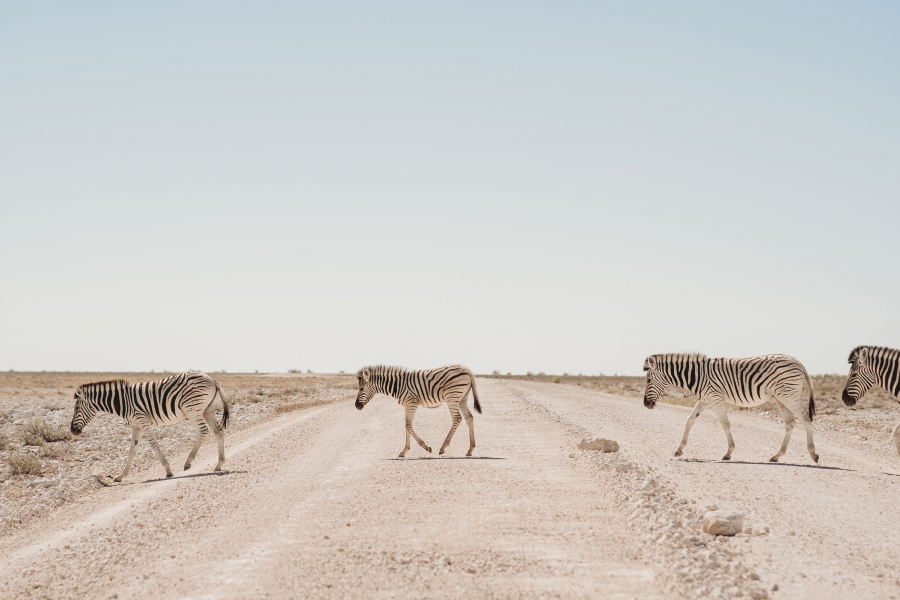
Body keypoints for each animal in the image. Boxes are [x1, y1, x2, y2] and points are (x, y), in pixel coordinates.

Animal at [71, 370, 232, 482]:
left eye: (77, 408)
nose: (72, 430)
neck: (122, 402)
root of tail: (211, 378)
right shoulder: (135, 426)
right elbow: (132, 451)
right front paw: (120, 476)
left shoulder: (142, 421)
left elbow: (154, 445)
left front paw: (168, 470)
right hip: (207, 410)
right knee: (218, 431)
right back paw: (219, 464)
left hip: (192, 410)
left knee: (203, 431)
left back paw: (188, 462)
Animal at [354, 364, 486, 458]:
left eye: (361, 389)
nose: (356, 406)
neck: (397, 386)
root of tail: (466, 369)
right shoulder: (407, 405)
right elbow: (406, 425)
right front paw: (404, 451)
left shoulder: (411, 404)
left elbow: (408, 425)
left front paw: (426, 447)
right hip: (462, 398)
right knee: (469, 418)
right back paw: (470, 449)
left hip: (452, 397)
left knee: (457, 418)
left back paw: (443, 448)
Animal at [644, 352, 820, 464]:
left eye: (648, 380)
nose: (646, 404)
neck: (696, 376)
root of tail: (796, 361)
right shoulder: (704, 400)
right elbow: (689, 420)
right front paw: (679, 450)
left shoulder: (715, 398)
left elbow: (725, 424)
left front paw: (728, 453)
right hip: (781, 398)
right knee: (790, 423)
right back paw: (777, 456)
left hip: (788, 396)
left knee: (806, 419)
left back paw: (813, 454)